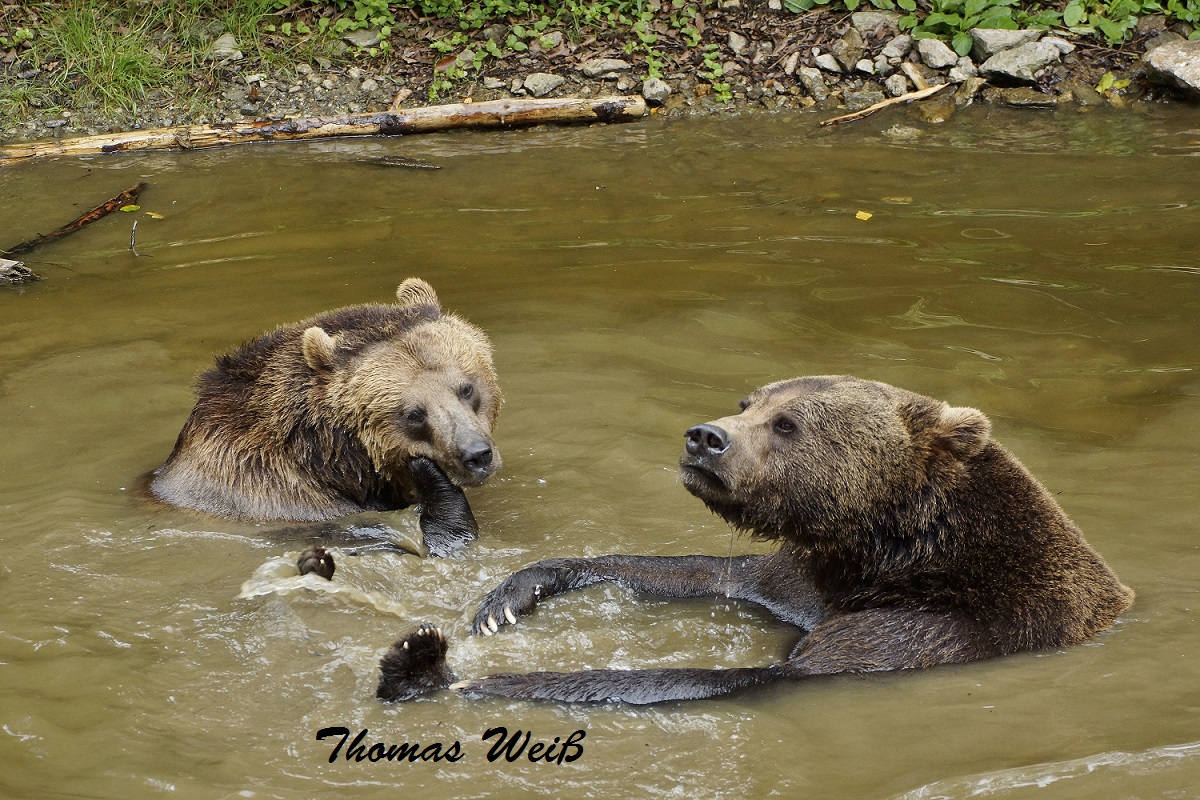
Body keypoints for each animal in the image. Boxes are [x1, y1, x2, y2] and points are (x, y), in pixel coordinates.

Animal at [376, 374, 1132, 700]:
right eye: (749, 401)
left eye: (788, 423)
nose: (704, 436)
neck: (886, 549)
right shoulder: (803, 578)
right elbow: (710, 573)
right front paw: (515, 592)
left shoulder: (942, 626)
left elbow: (770, 670)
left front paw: (439, 669)